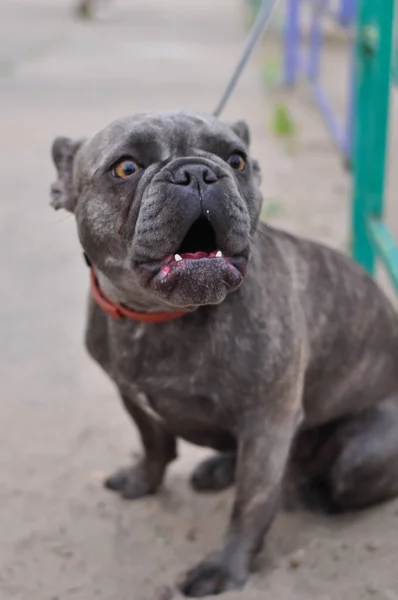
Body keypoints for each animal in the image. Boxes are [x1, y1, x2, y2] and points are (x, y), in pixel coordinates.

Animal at [49, 111, 398, 596]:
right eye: (126, 167)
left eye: (237, 160)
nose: (197, 172)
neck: (161, 317)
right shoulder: (131, 396)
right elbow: (153, 443)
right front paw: (143, 480)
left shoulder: (268, 424)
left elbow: (250, 504)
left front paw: (224, 568)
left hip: (359, 455)